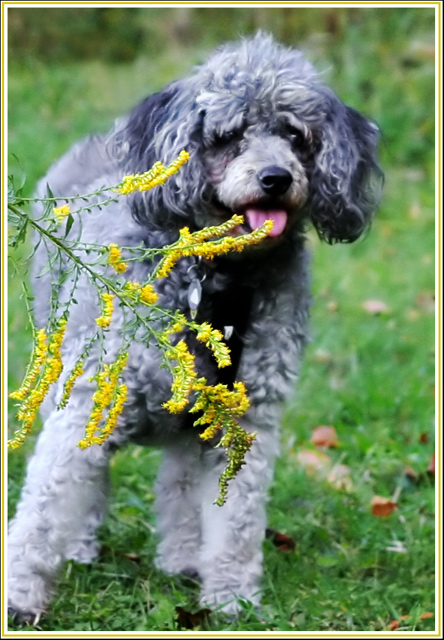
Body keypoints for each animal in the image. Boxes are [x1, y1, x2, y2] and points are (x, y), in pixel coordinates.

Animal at [7, 33, 382, 620]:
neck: (219, 277)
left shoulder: (247, 417)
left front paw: (232, 597)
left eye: (296, 136)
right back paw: (82, 546)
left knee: (179, 489)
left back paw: (183, 560)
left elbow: (235, 520)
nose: (276, 179)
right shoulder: (88, 403)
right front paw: (19, 596)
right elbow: (46, 507)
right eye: (228, 135)